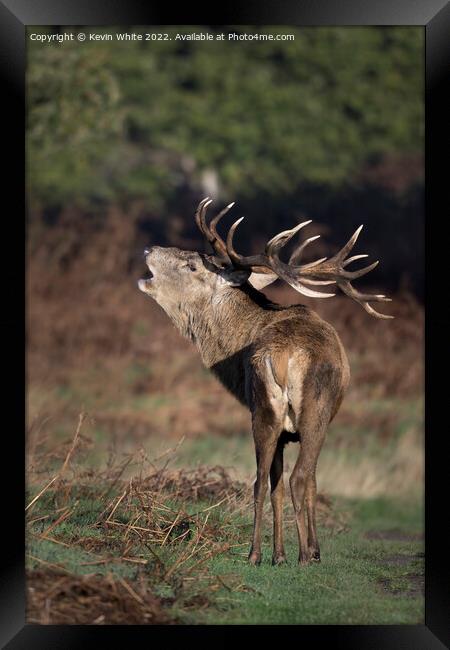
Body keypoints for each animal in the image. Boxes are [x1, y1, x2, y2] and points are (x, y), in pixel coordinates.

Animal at [136, 196, 390, 560]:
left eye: (192, 266)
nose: (149, 248)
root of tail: (283, 356)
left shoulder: (282, 432)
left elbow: (275, 486)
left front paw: (278, 554)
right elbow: (307, 482)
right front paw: (310, 550)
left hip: (267, 410)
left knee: (262, 482)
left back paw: (258, 554)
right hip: (311, 411)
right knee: (301, 478)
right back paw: (302, 555)